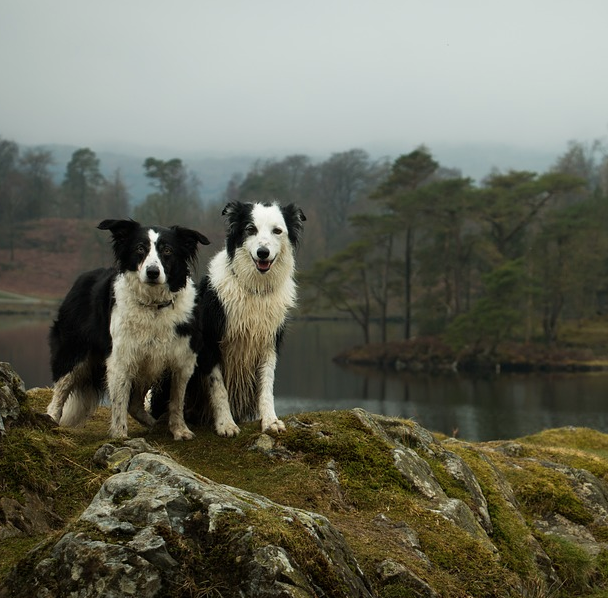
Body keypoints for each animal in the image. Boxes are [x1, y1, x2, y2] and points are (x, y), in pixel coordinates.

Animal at [46, 220, 210, 440]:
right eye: (140, 249)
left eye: (167, 250)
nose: (152, 272)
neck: (153, 305)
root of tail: (82, 278)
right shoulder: (121, 357)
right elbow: (119, 402)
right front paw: (120, 435)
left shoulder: (182, 357)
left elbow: (177, 400)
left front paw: (180, 430)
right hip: (74, 351)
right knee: (61, 389)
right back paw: (51, 419)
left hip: (147, 362)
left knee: (135, 404)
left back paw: (155, 424)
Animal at [152, 200, 304, 436]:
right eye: (250, 229)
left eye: (277, 231)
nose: (263, 253)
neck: (254, 289)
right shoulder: (210, 341)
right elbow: (218, 387)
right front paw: (225, 423)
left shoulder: (268, 342)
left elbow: (266, 385)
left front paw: (270, 420)